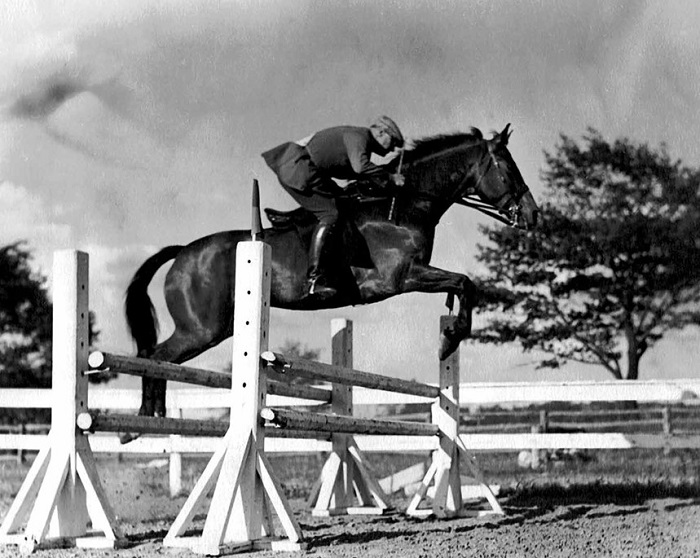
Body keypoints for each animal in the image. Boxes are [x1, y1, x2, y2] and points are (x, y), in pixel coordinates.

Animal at [124, 124, 539, 424]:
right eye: (508, 169)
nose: (533, 215)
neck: (402, 205)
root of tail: (184, 252)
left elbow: (464, 285)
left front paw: (451, 334)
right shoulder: (403, 277)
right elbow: (465, 282)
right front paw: (449, 340)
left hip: (216, 328)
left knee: (158, 357)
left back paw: (151, 416)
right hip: (200, 329)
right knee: (154, 355)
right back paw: (146, 417)